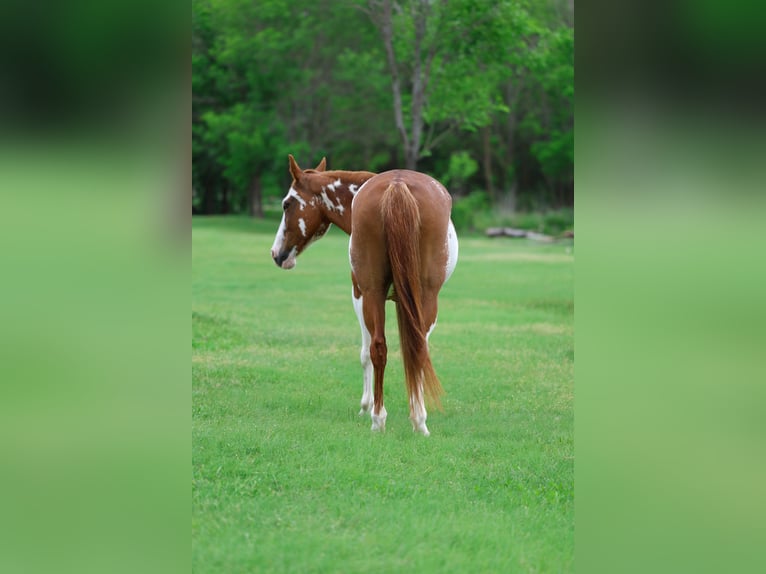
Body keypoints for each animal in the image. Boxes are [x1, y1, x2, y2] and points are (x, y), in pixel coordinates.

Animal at [270, 155, 458, 435]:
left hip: (373, 295)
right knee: (405, 348)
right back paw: (409, 420)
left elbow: (367, 353)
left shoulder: (358, 293)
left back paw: (382, 417)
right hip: (416, 297)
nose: (277, 254)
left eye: (287, 204)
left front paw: (366, 406)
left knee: (381, 348)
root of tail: (397, 185)